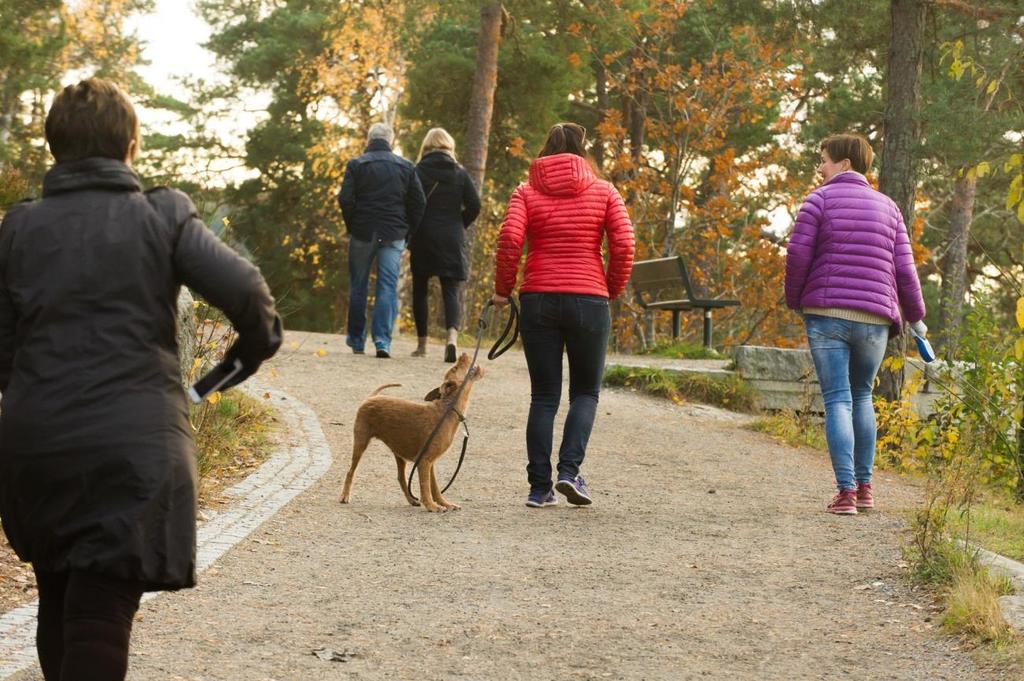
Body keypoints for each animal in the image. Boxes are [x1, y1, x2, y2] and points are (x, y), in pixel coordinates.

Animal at [342, 352, 485, 512]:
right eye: (455, 367)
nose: (463, 354)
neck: (447, 410)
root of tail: (372, 397)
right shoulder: (424, 461)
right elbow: (425, 486)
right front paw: (431, 506)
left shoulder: (430, 462)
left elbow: (435, 488)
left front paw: (444, 503)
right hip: (361, 442)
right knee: (350, 471)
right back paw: (345, 496)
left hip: (398, 453)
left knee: (401, 478)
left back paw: (411, 500)